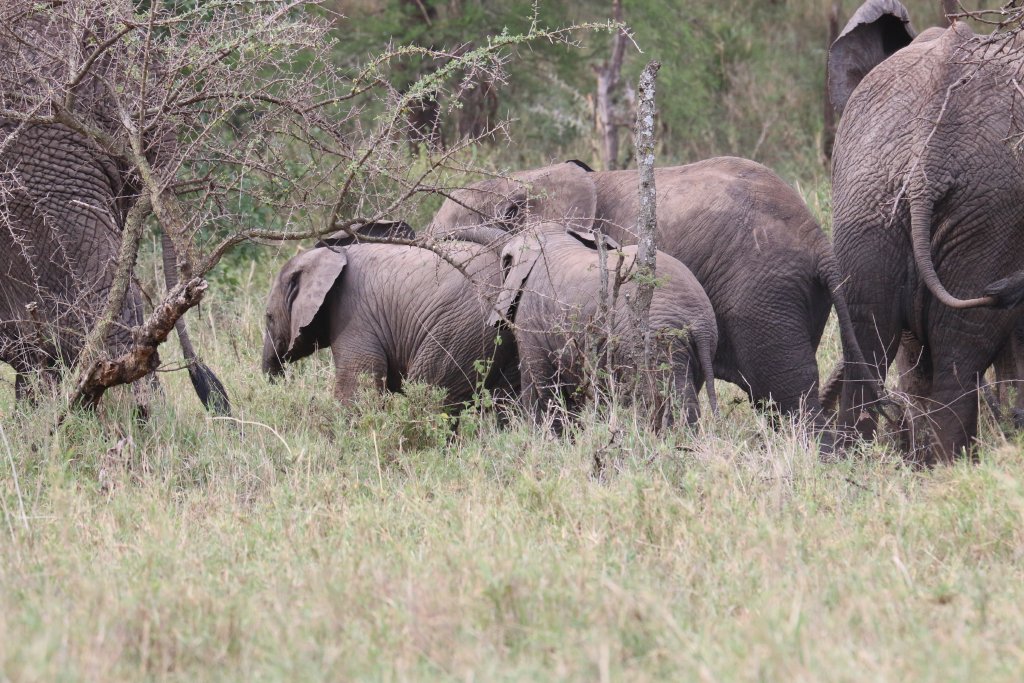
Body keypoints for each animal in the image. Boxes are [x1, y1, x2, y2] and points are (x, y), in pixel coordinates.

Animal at [261, 233, 517, 410]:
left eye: (269, 318)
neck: (329, 253)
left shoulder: (353, 316)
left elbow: (357, 383)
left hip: (461, 330)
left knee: (429, 394)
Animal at [827, 0, 1024, 461]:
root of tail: (926, 165)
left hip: (868, 198)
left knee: (867, 331)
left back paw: (856, 461)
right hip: (990, 210)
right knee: (960, 349)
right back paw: (953, 465)